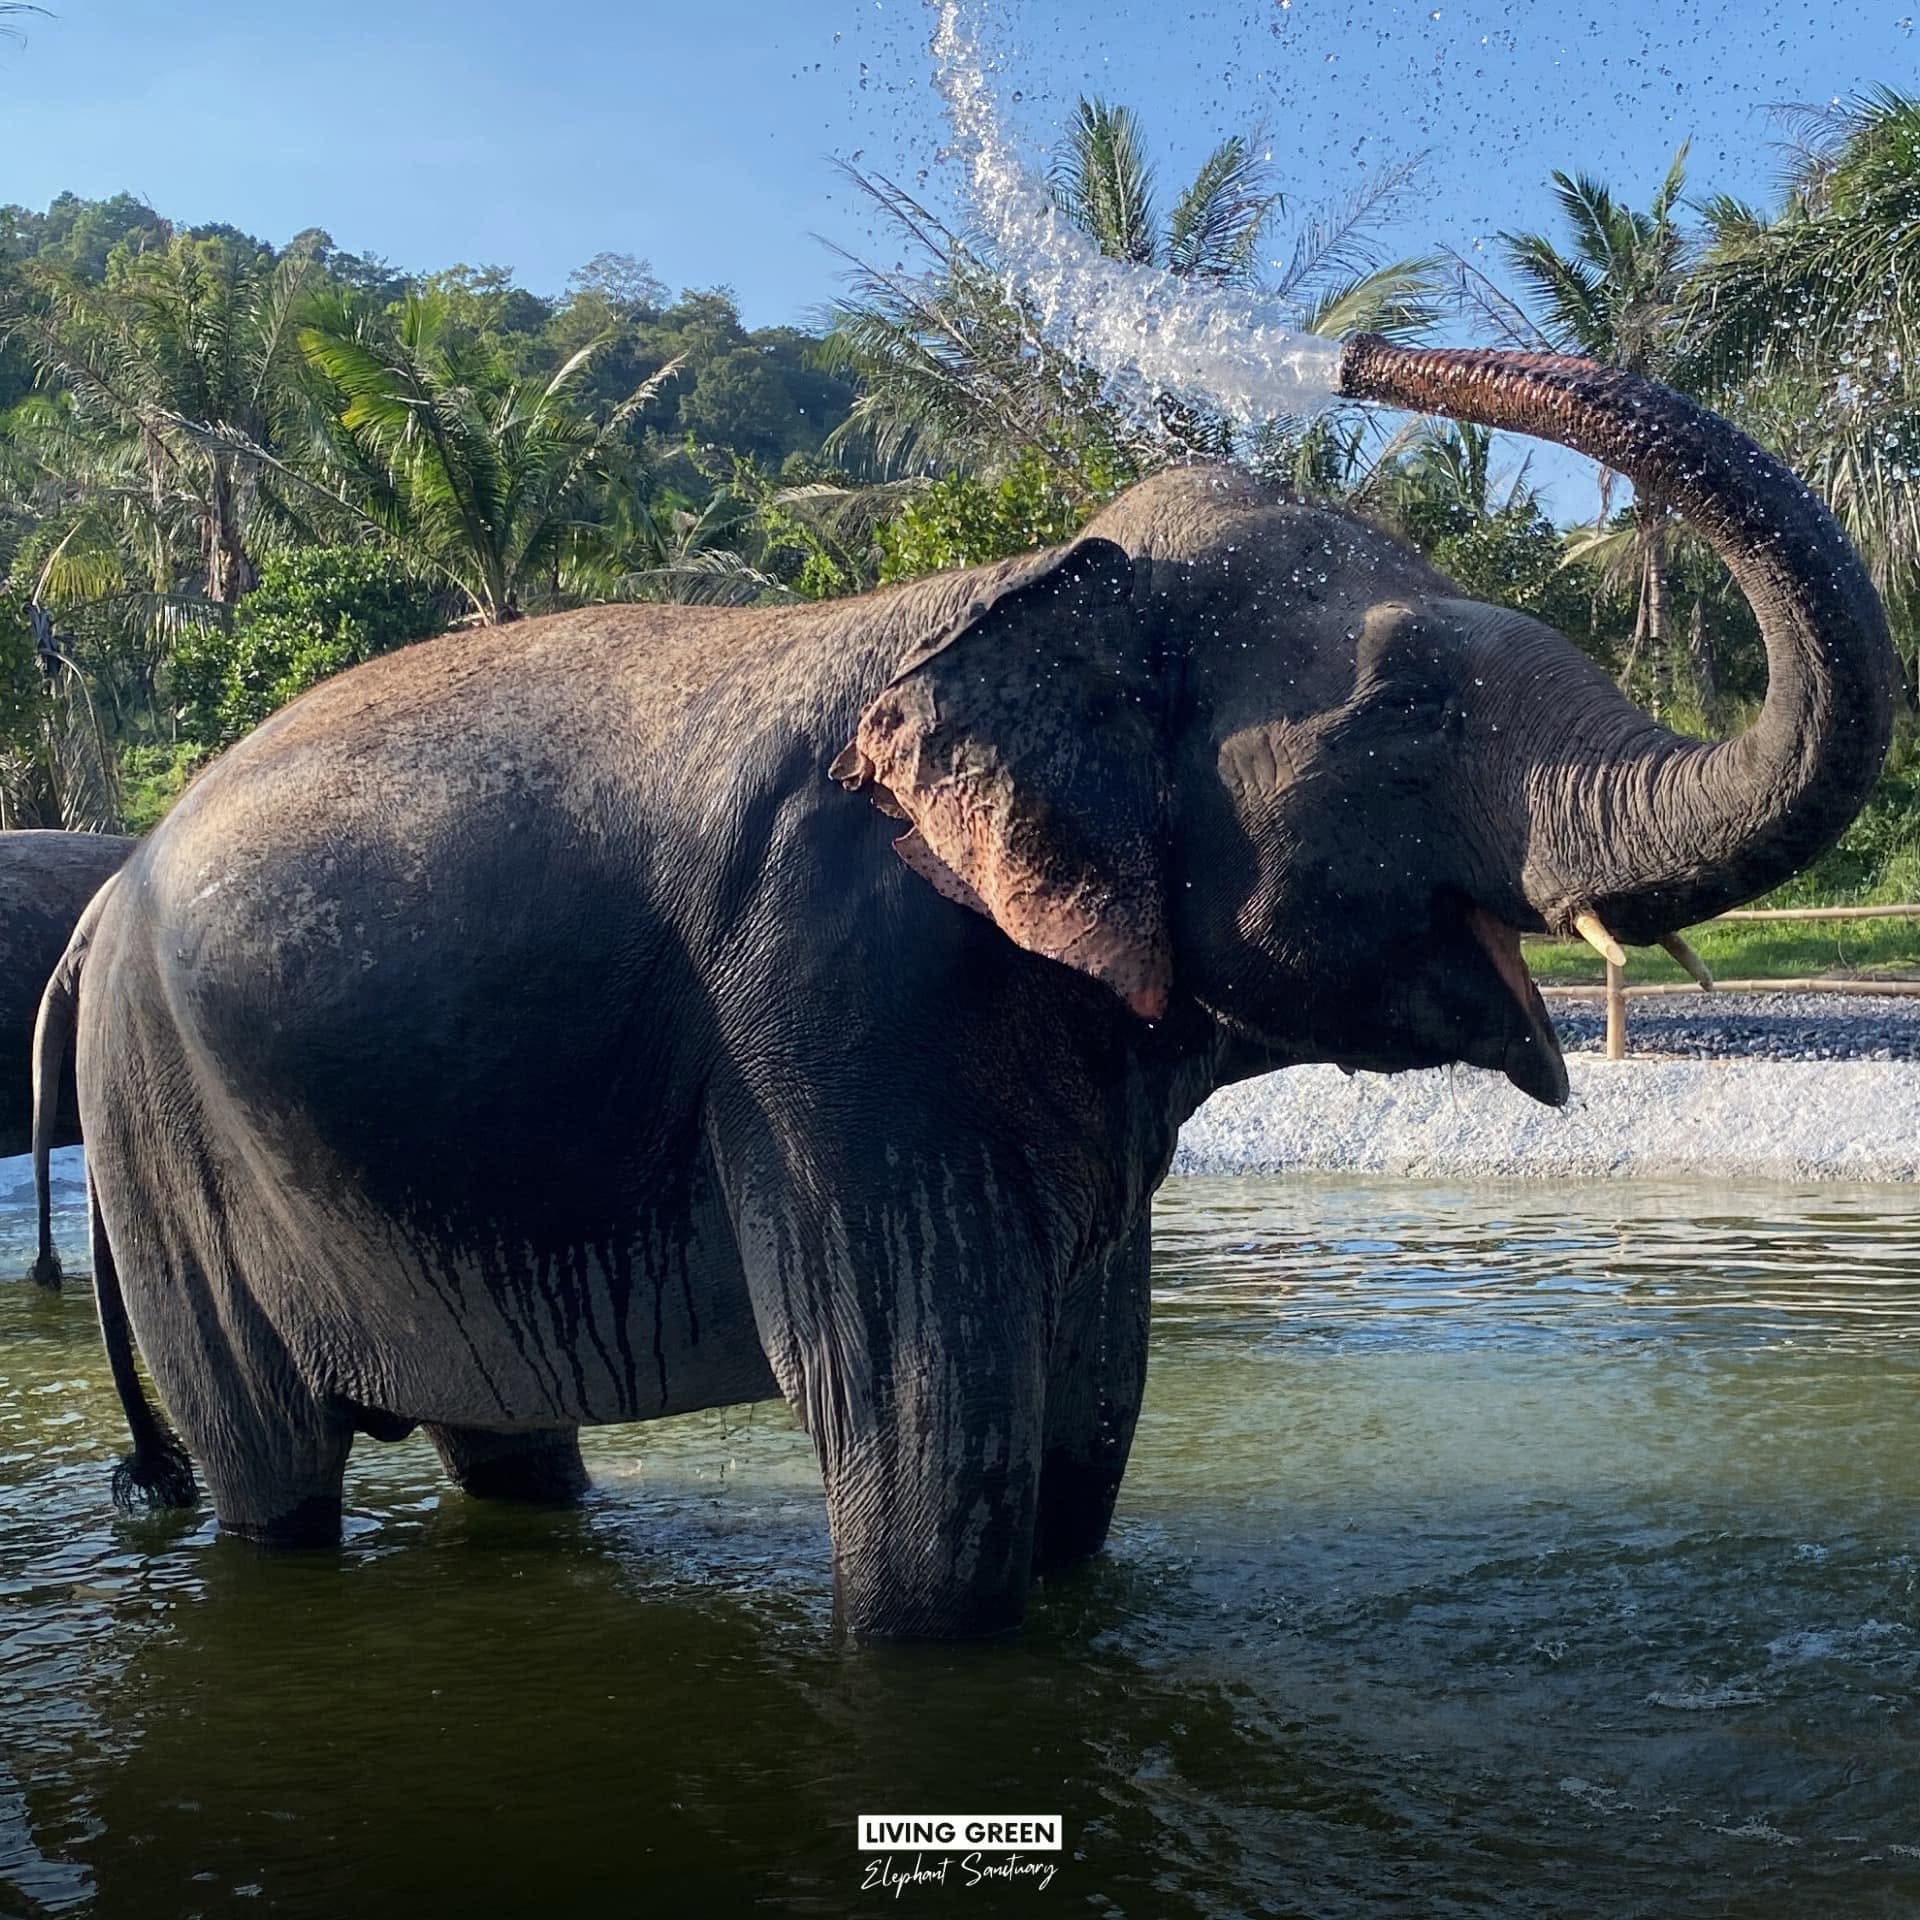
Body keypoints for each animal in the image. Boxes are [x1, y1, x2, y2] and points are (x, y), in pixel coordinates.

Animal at [39, 339, 1894, 1638]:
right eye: (1411, 710)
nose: (1363, 351)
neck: (1027, 585)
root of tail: (104, 898)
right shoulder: (829, 1005)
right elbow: (936, 1488)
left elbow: (1083, 1443)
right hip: (165, 1150)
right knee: (276, 1485)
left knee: (509, 1458)